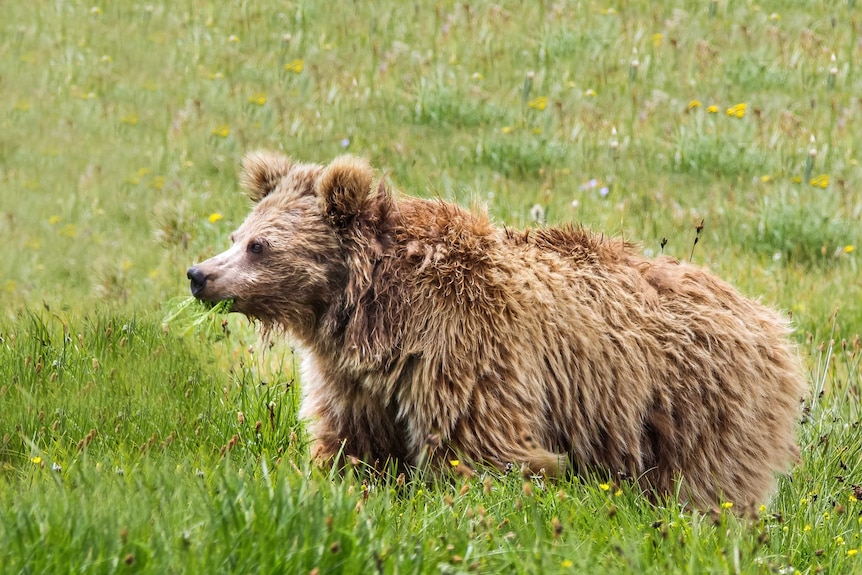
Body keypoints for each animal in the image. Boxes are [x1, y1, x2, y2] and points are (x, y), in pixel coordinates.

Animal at [189, 152, 808, 508]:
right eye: (237, 233)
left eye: (259, 245)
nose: (199, 275)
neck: (372, 312)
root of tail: (769, 319)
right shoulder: (355, 378)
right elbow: (351, 442)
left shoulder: (463, 346)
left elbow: (482, 446)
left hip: (699, 402)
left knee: (708, 484)